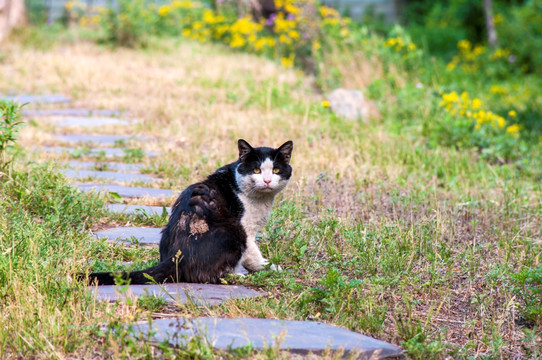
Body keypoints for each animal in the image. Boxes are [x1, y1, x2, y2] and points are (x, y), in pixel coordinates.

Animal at [88, 139, 294, 286]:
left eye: (276, 170)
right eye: (256, 170)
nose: (267, 181)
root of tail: (175, 257)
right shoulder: (247, 230)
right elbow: (253, 257)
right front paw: (271, 268)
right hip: (233, 233)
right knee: (206, 275)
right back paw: (236, 278)